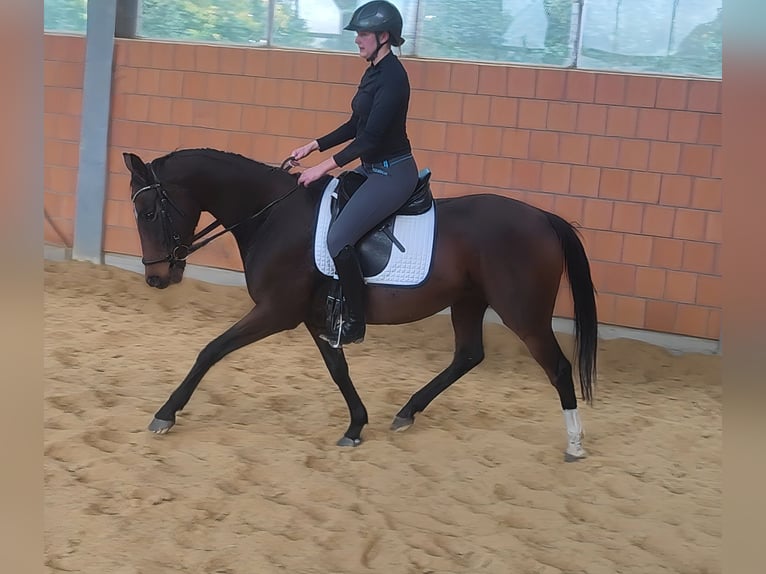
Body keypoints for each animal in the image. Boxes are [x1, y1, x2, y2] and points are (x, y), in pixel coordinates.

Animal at [122, 147, 598, 461]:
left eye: (148, 213)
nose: (157, 277)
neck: (272, 216)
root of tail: (543, 218)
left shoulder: (276, 311)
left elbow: (211, 350)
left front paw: (165, 414)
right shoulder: (315, 317)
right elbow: (338, 369)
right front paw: (355, 426)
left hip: (524, 313)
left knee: (557, 367)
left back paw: (575, 444)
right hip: (468, 301)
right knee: (468, 355)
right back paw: (407, 412)